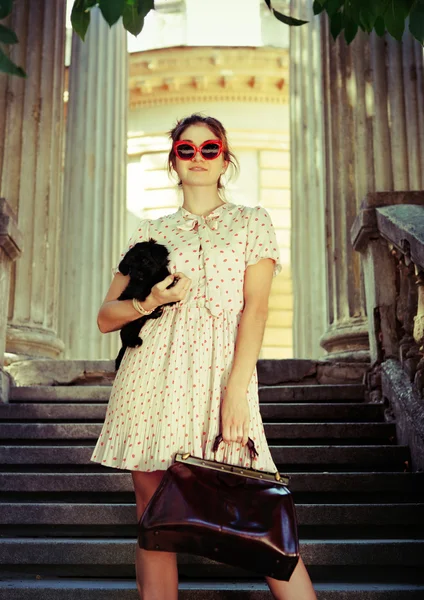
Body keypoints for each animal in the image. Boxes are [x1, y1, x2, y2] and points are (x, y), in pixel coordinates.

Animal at [113, 238, 178, 370]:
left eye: (145, 260)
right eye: (130, 265)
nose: (137, 273)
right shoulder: (134, 288)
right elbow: (141, 289)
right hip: (131, 324)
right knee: (126, 335)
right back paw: (135, 341)